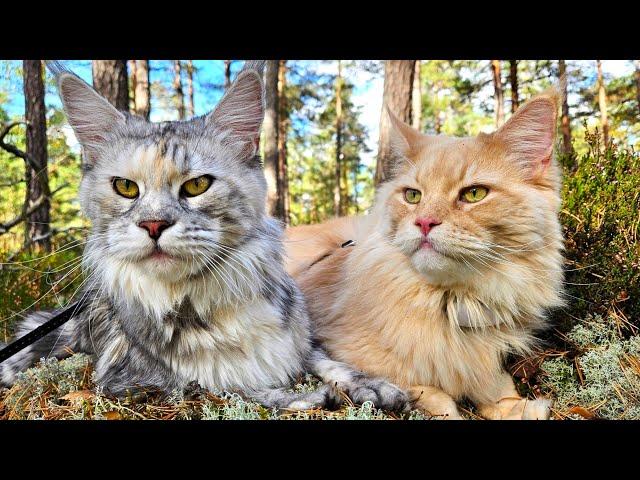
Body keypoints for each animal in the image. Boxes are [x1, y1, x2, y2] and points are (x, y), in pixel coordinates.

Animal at [0, 60, 408, 410]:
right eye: (125, 188)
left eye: (197, 185)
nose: (153, 225)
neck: (209, 299)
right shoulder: (135, 380)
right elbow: (229, 385)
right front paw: (305, 397)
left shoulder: (298, 338)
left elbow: (326, 360)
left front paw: (369, 386)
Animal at [288, 91, 564, 420]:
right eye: (413, 196)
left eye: (474, 194)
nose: (424, 222)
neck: (453, 303)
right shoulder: (344, 346)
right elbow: (434, 395)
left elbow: (497, 387)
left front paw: (515, 407)